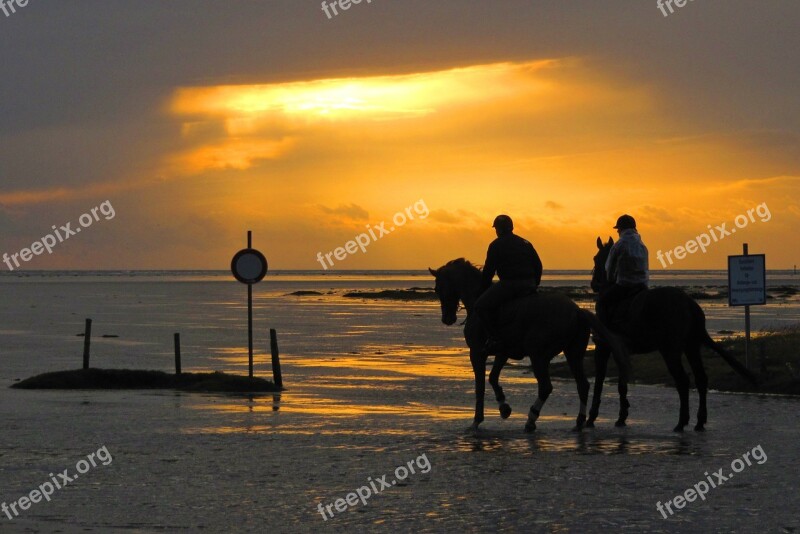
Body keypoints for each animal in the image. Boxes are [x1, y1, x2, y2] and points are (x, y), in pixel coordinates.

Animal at [428, 260, 628, 436]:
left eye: (438, 288)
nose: (447, 318)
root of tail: (577, 311)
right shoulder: (502, 353)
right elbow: (493, 378)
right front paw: (504, 408)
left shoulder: (476, 353)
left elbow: (480, 386)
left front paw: (477, 421)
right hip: (573, 354)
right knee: (583, 385)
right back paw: (578, 422)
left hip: (538, 355)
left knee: (546, 387)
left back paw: (531, 419)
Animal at [588, 237, 756, 434]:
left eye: (596, 258)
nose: (593, 284)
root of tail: (689, 303)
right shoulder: (621, 351)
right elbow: (622, 384)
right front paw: (622, 417)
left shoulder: (603, 348)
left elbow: (599, 381)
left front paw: (591, 418)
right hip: (691, 347)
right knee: (701, 379)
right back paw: (699, 422)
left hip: (670, 350)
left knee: (683, 381)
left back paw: (681, 422)